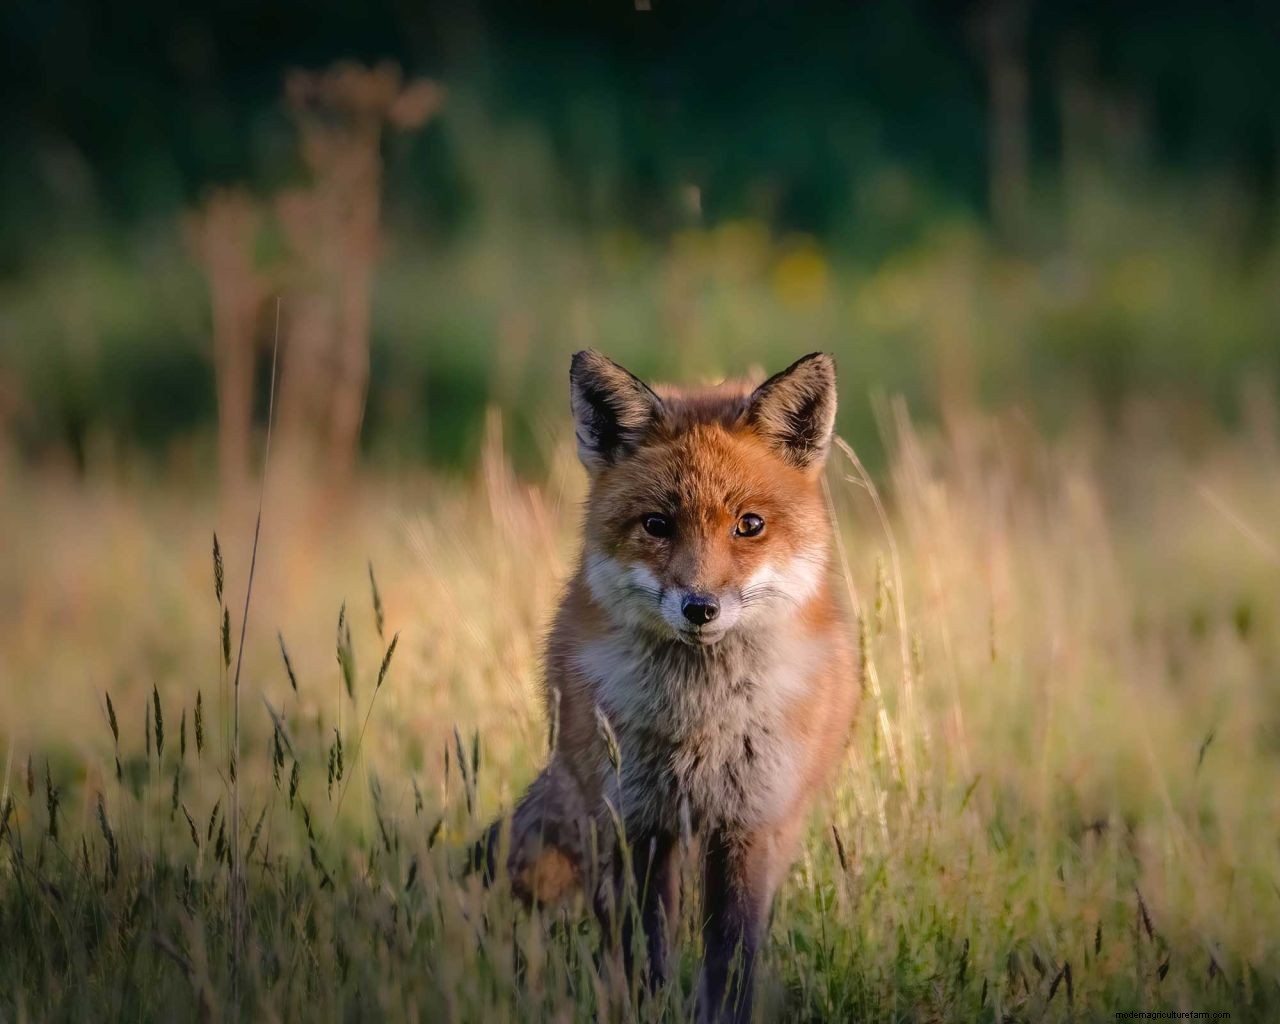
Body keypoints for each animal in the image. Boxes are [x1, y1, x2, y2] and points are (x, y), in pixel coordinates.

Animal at [497, 350, 858, 1023]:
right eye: (657, 524)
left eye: (750, 524)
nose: (700, 607)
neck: (700, 724)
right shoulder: (636, 821)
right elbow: (644, 951)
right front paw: (645, 1008)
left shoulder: (750, 826)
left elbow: (732, 957)